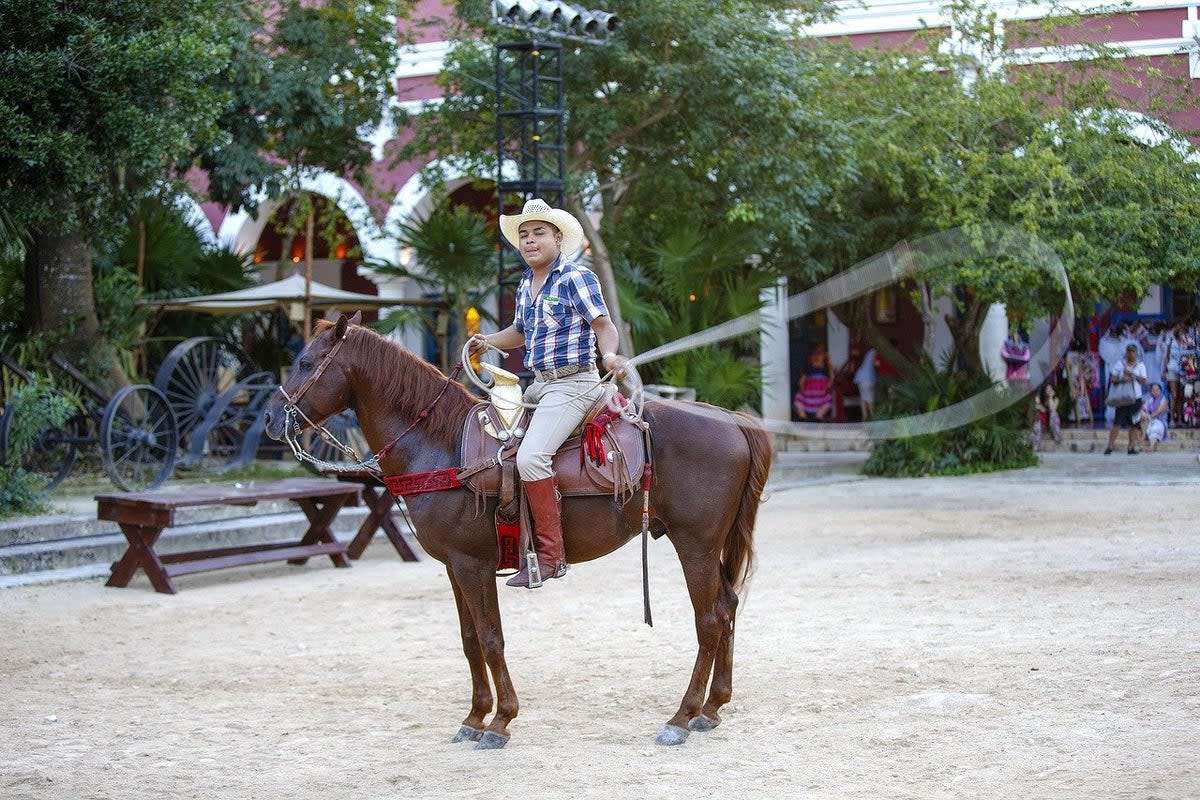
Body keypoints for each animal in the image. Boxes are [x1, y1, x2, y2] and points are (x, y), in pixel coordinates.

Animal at [261, 314, 768, 753]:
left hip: (695, 544)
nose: (269, 420)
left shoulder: (474, 563)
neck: (442, 447)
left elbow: (491, 638)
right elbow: (469, 640)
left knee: (709, 619)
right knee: (728, 606)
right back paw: (712, 707)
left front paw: (500, 721)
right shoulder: (454, 565)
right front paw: (473, 718)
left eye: (306, 362)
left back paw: (681, 716)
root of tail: (734, 420)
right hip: (710, 546)